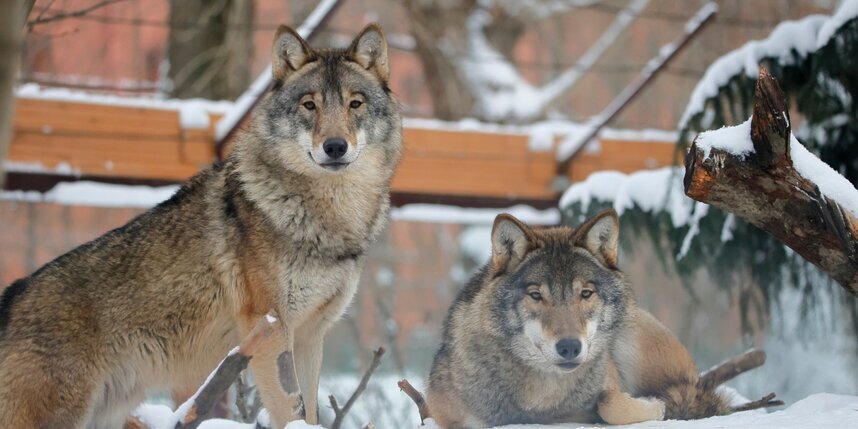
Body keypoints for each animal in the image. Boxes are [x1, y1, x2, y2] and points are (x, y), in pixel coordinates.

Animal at [0, 23, 398, 428]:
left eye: (355, 103)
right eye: (309, 105)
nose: (335, 146)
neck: (329, 216)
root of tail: (12, 296)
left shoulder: (310, 336)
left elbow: (310, 412)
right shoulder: (270, 330)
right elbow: (292, 411)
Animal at [424, 209, 732, 426]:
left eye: (585, 293)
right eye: (536, 295)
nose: (570, 347)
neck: (543, 396)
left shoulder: (609, 387)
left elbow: (611, 405)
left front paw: (654, 404)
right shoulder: (445, 414)